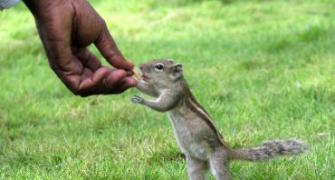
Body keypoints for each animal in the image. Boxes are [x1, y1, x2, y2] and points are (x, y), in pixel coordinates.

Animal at [131, 59, 308, 179]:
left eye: (159, 67)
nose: (140, 66)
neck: (175, 83)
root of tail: (228, 152)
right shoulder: (158, 90)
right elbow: (150, 90)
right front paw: (133, 80)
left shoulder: (174, 95)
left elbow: (162, 105)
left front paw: (141, 100)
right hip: (194, 164)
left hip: (217, 161)